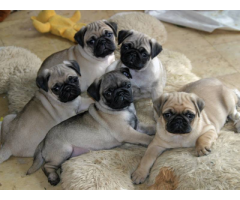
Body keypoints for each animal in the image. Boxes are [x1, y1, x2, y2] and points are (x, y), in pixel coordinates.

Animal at [26, 68, 154, 186]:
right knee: (47, 166)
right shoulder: (127, 132)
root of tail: (44, 140)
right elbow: (143, 137)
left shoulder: (136, 126)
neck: (125, 109)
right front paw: (152, 140)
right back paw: (53, 178)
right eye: (108, 93)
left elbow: (148, 128)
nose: (121, 93)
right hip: (63, 151)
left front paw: (155, 130)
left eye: (128, 85)